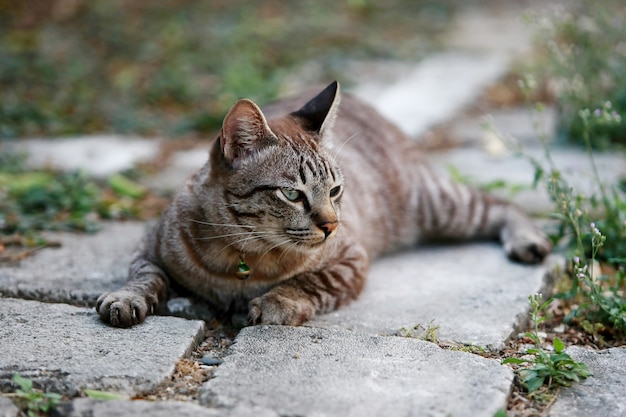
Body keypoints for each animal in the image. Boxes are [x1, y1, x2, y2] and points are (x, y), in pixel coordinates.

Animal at [95, 81, 548, 326]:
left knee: (500, 203)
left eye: (335, 191)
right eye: (292, 193)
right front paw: (126, 298)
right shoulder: (149, 244)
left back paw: (527, 238)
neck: (242, 258)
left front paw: (277, 302)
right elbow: (145, 275)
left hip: (439, 205)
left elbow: (309, 282)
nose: (331, 225)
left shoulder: (351, 259)